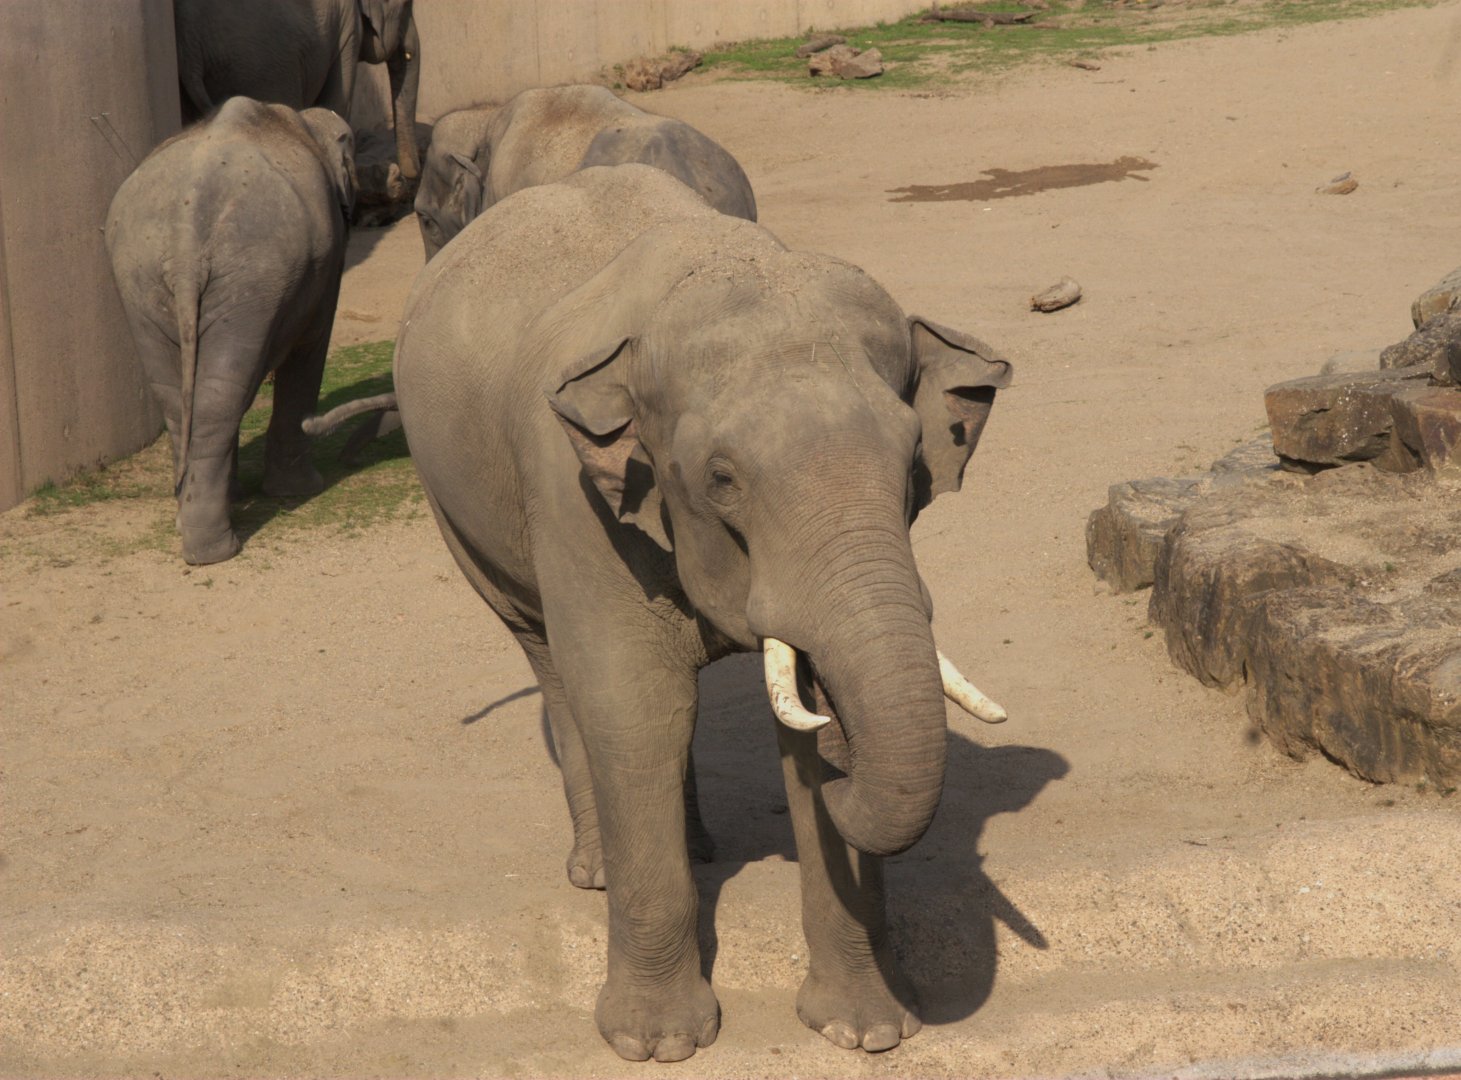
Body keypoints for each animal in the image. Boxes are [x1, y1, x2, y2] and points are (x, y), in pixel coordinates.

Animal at [106, 97, 356, 565]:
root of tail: (185, 236)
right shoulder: (327, 263)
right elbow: (310, 348)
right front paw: (299, 491)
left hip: (144, 278)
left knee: (184, 397)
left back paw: (191, 525)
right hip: (250, 276)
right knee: (219, 394)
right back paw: (216, 550)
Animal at [173, 0, 420, 183]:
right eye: (407, 5)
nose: (408, 176)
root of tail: (186, 38)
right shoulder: (348, 29)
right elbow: (335, 106)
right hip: (260, 66)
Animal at [393, 164, 1012, 1062]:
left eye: (910, 464)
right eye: (721, 479)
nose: (847, 787)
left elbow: (800, 716)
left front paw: (866, 1032)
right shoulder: (574, 496)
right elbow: (635, 705)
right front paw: (657, 1046)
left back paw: (696, 849)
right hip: (455, 511)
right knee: (556, 668)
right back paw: (599, 871)